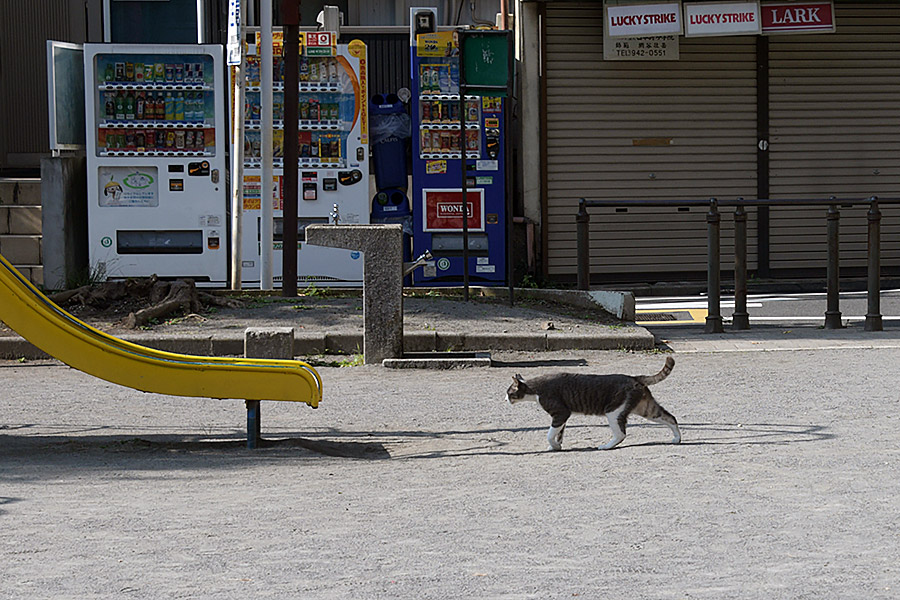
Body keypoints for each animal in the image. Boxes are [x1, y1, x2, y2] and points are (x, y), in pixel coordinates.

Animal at [506, 356, 684, 450]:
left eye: (508, 392)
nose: (505, 399)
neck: (535, 389)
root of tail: (634, 377)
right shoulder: (562, 417)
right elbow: (559, 434)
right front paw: (556, 446)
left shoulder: (561, 413)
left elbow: (550, 434)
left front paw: (553, 445)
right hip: (646, 409)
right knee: (670, 417)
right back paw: (677, 439)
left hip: (613, 412)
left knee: (621, 434)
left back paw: (606, 446)